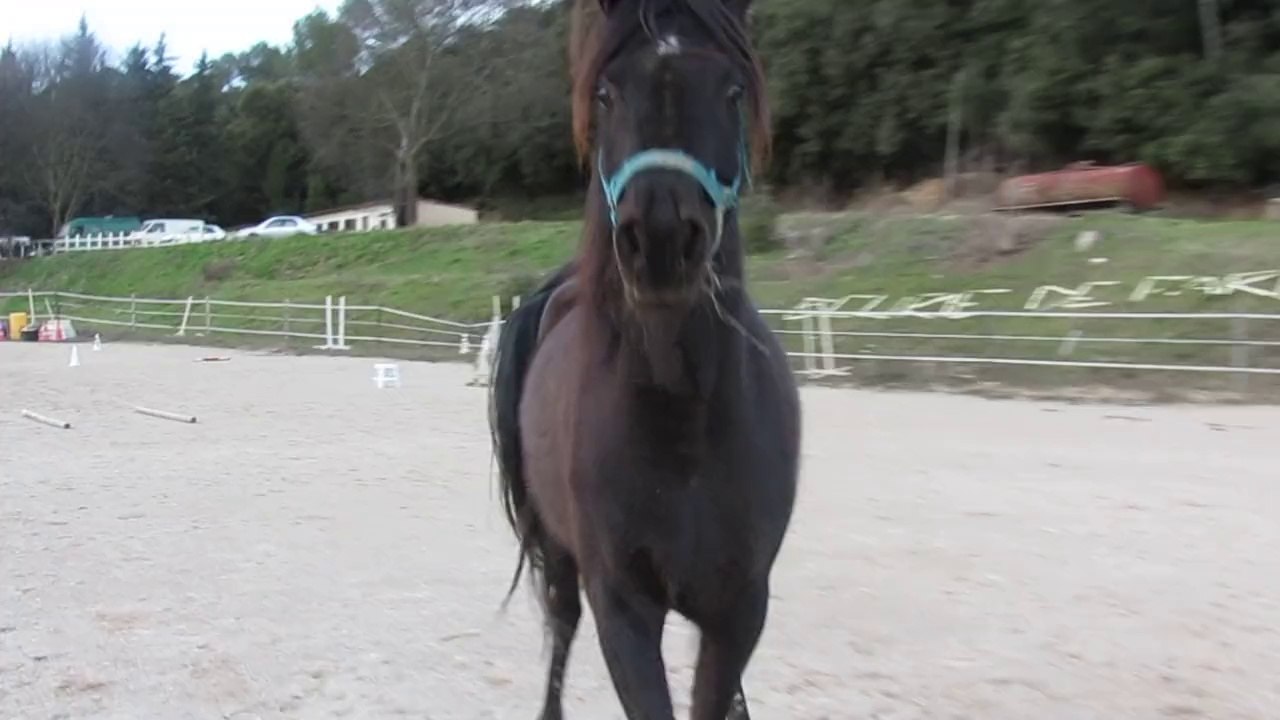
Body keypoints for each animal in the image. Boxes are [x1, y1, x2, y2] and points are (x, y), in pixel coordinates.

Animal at [489, 0, 800, 717]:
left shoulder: (740, 609)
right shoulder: (623, 609)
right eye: (606, 93)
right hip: (559, 552)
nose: (660, 239)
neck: (684, 417)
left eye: (733, 91)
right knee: (561, 625)